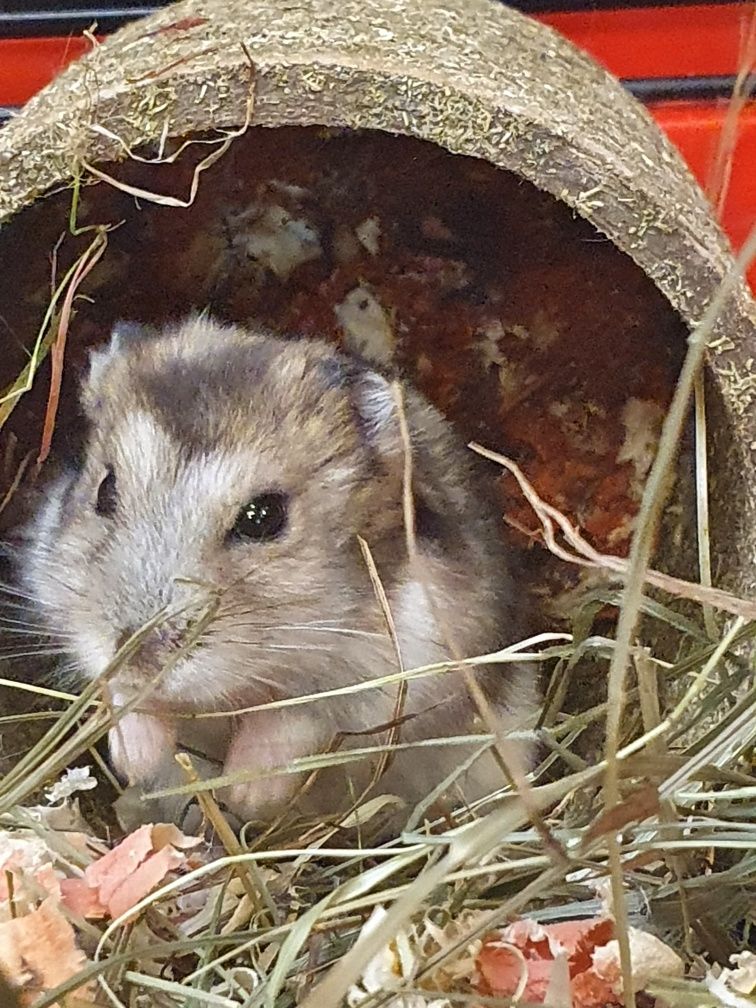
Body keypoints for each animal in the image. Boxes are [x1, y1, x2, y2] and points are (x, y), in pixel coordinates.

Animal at [20, 318, 536, 830]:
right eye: (105, 490)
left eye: (263, 517)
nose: (139, 663)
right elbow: (112, 689)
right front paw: (136, 760)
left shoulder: (399, 668)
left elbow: (299, 716)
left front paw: (246, 793)